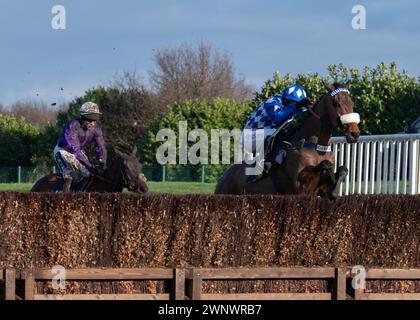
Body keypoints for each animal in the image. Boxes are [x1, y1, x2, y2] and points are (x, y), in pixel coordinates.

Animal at [217, 82, 360, 198]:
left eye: (352, 103)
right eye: (336, 103)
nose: (354, 133)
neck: (317, 148)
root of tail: (223, 177)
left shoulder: (321, 189)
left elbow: (342, 170)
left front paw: (335, 189)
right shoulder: (299, 187)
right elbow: (325, 164)